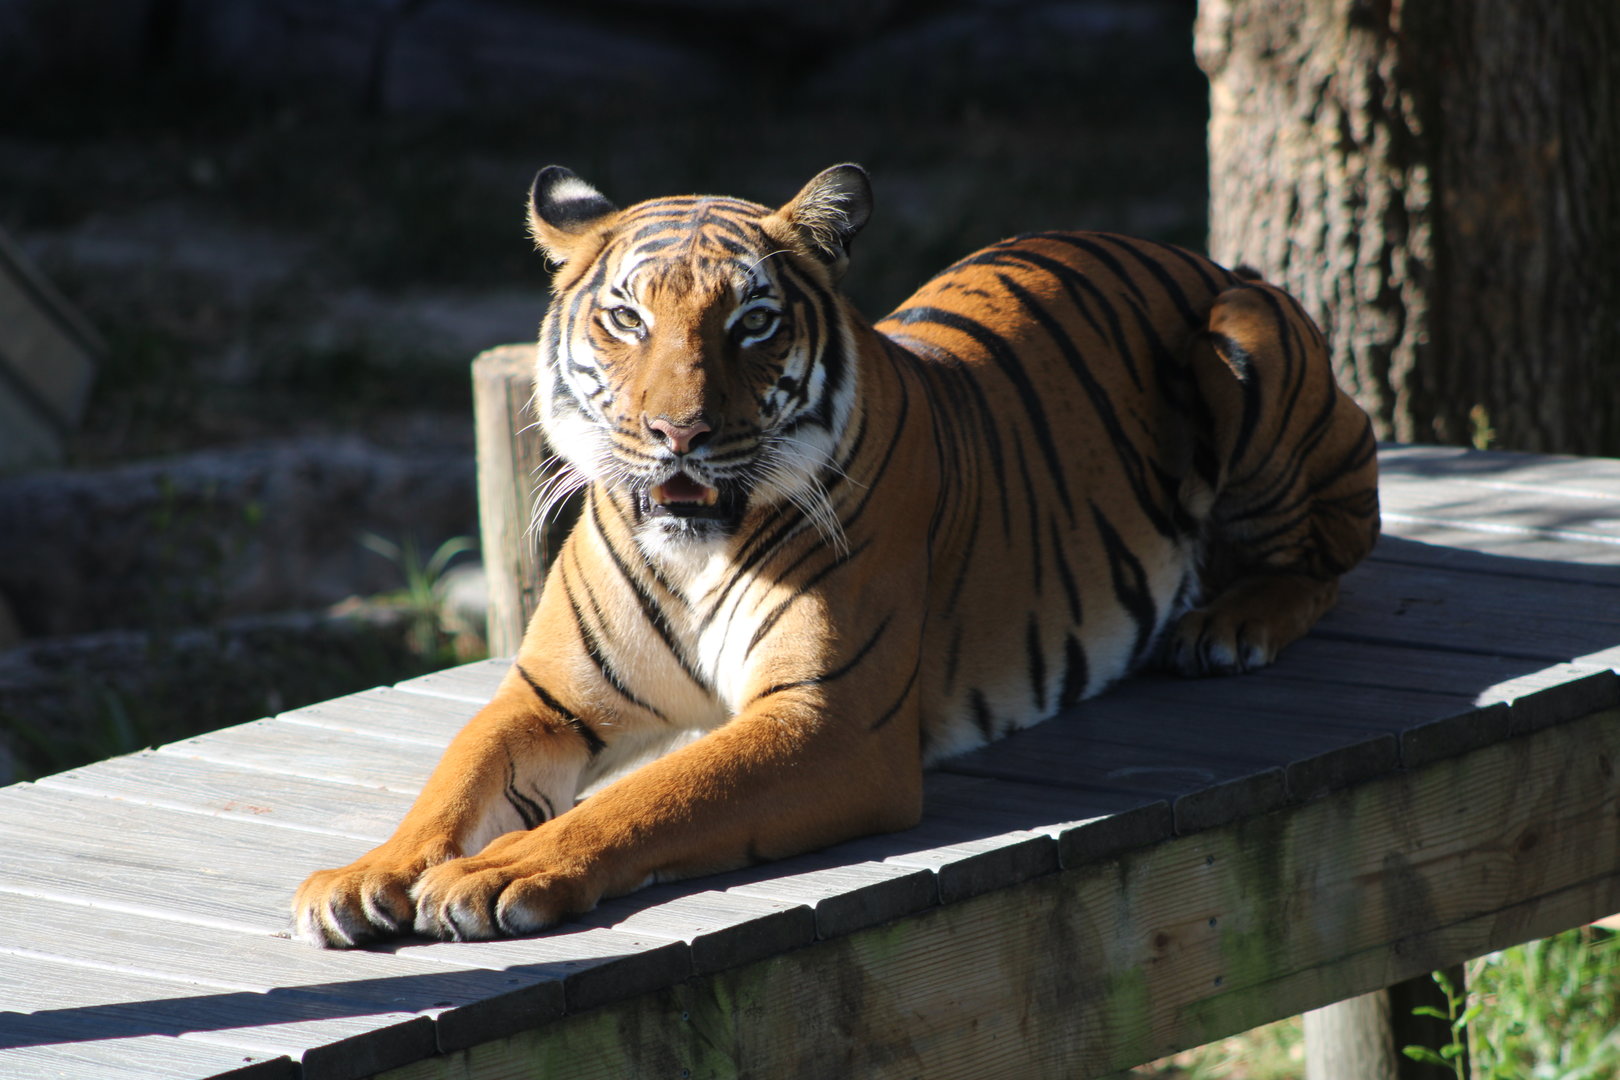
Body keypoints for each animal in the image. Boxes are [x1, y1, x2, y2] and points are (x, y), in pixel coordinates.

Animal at [293, 164, 1379, 947]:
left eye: (752, 322)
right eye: (628, 317)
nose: (677, 434)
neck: (692, 555)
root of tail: (1201, 257)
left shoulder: (827, 721)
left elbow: (653, 797)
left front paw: (499, 871)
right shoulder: (550, 696)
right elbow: (457, 774)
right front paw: (368, 875)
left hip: (1244, 345)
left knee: (1334, 555)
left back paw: (1229, 624)